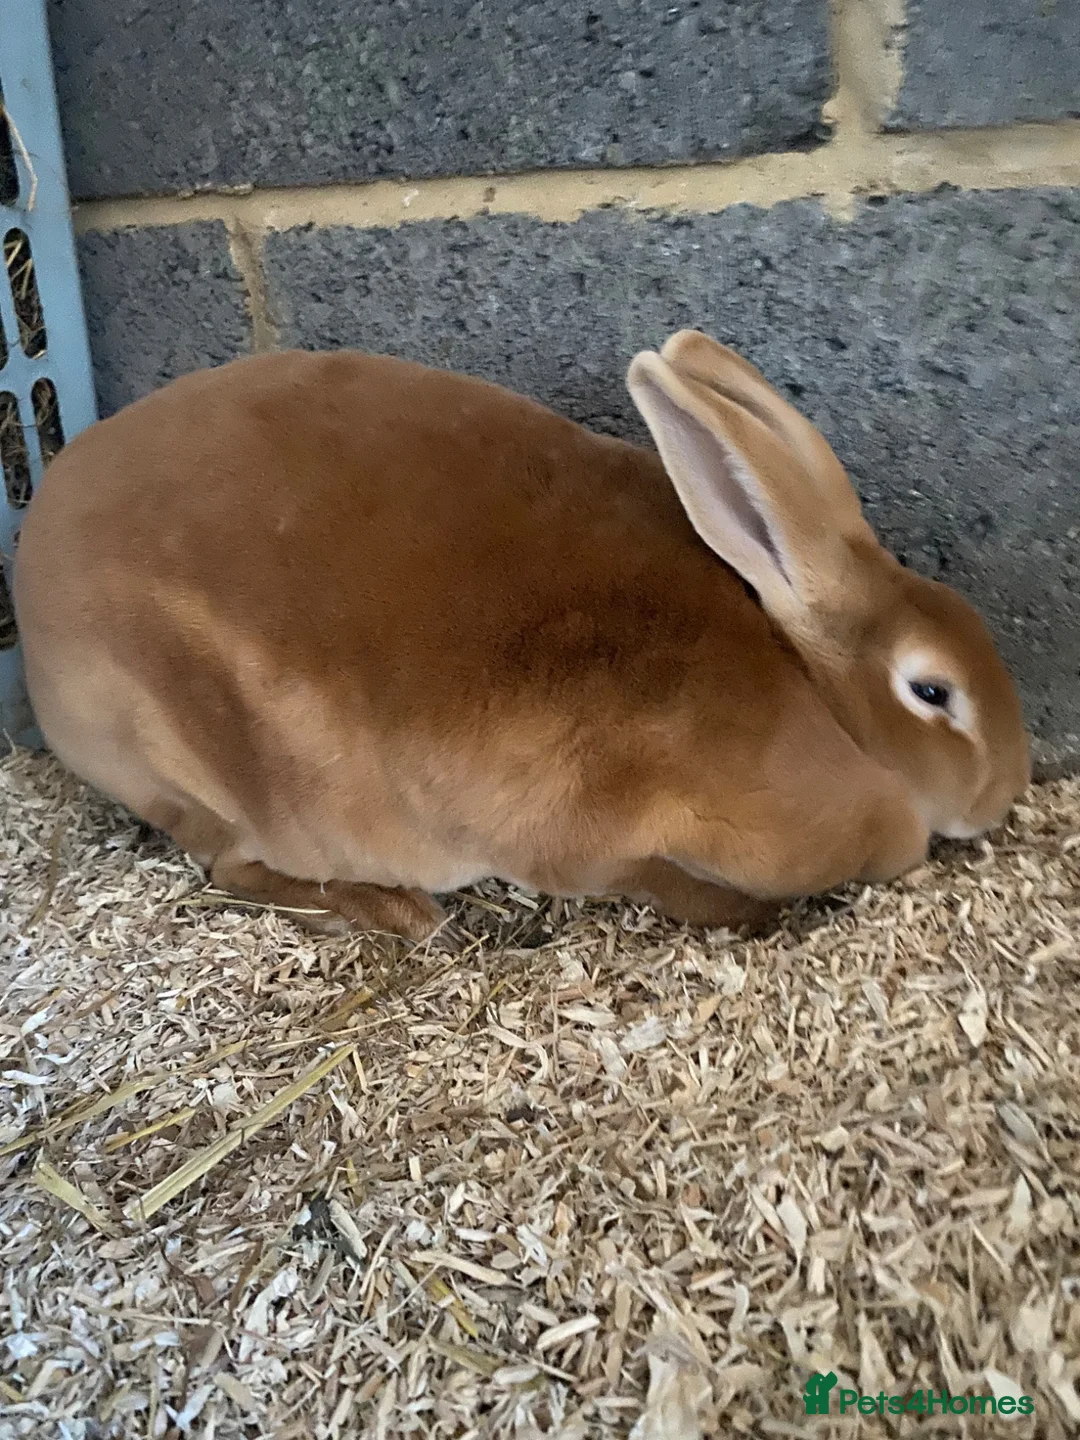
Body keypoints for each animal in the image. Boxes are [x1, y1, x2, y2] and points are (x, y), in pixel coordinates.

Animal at [13, 330, 1030, 941]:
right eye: (932, 692)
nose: (1005, 795)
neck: (815, 694)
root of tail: (29, 574)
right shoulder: (608, 843)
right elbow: (673, 886)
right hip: (204, 776)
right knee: (228, 866)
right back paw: (393, 910)